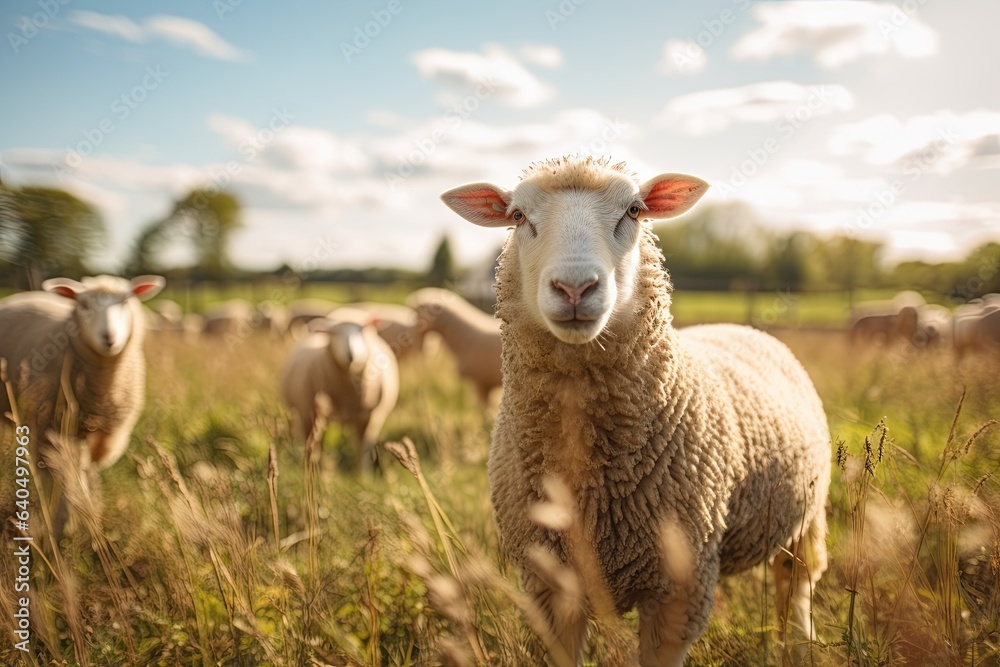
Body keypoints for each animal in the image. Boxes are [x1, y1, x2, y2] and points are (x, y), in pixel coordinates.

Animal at [278, 314, 398, 474]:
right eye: (334, 333)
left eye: (362, 330)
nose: (351, 355)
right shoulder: (309, 414)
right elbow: (313, 446)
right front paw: (312, 470)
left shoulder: (370, 418)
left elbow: (363, 448)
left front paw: (362, 475)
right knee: (314, 442)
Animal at [442, 155, 832, 664]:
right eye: (519, 216)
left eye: (633, 210)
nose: (574, 287)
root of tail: (740, 325)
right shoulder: (549, 584)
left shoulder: (681, 586)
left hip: (808, 512)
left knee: (797, 581)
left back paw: (799, 645)